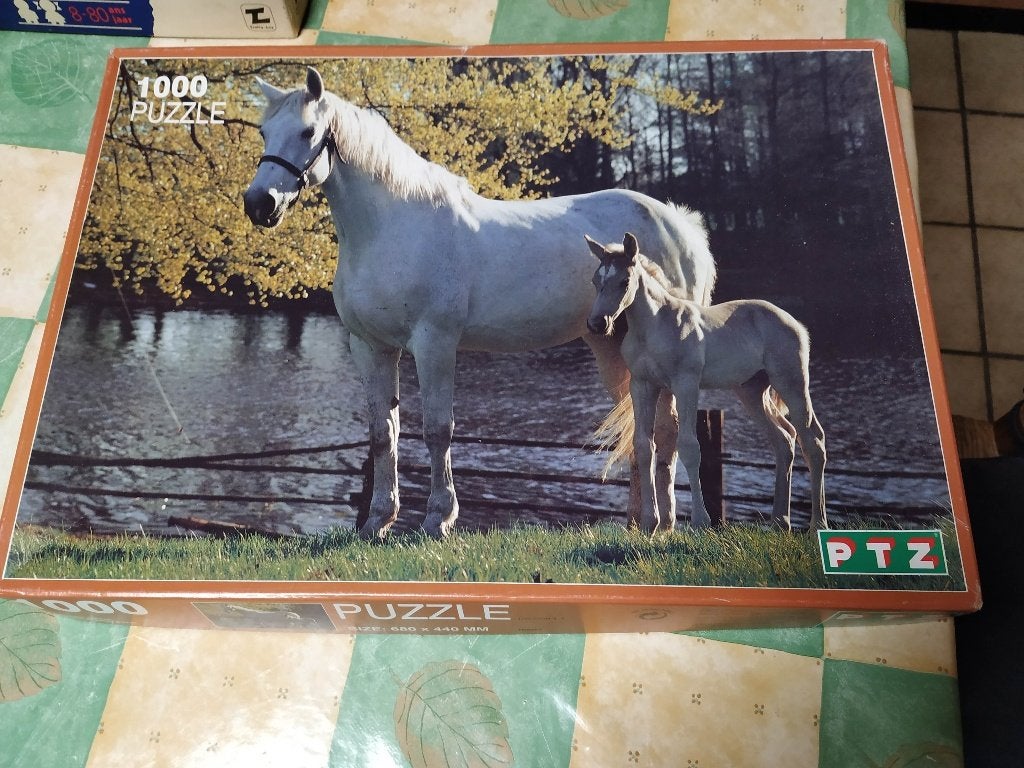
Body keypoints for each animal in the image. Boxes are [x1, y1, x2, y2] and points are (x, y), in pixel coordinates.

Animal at [242, 66, 716, 539]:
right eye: (264, 131)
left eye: (308, 132)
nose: (258, 203)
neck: (391, 229)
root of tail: (681, 225)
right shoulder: (371, 347)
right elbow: (383, 434)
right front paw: (377, 520)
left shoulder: (434, 345)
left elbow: (437, 430)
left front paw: (438, 517)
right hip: (614, 347)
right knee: (645, 432)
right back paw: (643, 523)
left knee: (668, 432)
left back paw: (665, 523)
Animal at [586, 232, 828, 532]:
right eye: (595, 281)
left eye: (624, 281)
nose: (597, 323)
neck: (653, 327)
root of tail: (794, 323)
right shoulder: (643, 386)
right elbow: (643, 447)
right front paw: (649, 524)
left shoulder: (685, 384)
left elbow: (690, 446)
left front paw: (701, 522)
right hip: (752, 391)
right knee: (784, 439)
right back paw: (780, 521)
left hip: (791, 381)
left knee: (813, 439)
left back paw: (818, 524)